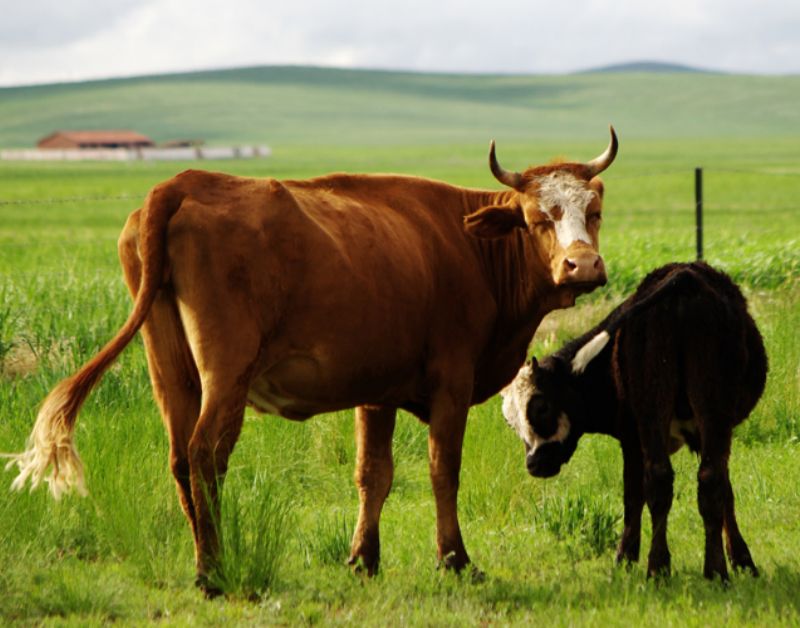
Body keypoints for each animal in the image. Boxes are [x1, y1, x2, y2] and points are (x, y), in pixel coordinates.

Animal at [7, 128, 617, 594]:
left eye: (595, 211)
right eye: (538, 217)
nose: (583, 265)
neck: (469, 247)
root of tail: (183, 183)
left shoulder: (378, 390)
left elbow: (373, 474)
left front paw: (363, 559)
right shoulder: (452, 382)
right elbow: (443, 470)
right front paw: (455, 560)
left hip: (171, 372)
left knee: (180, 458)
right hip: (226, 372)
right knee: (206, 456)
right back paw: (213, 572)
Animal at [501, 261, 767, 581]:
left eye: (542, 407)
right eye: (511, 422)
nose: (534, 464)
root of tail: (683, 281)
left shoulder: (632, 437)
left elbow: (635, 494)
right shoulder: (642, 436)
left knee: (672, 480)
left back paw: (670, 569)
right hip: (696, 408)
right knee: (697, 479)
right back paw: (698, 570)